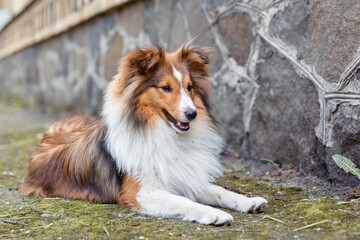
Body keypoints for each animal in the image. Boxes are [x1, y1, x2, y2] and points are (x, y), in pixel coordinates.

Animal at [20, 44, 268, 225]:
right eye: (166, 88)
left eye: (189, 87)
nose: (192, 114)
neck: (163, 134)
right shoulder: (140, 193)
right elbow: (182, 201)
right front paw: (213, 213)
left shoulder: (183, 175)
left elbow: (219, 190)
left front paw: (248, 201)